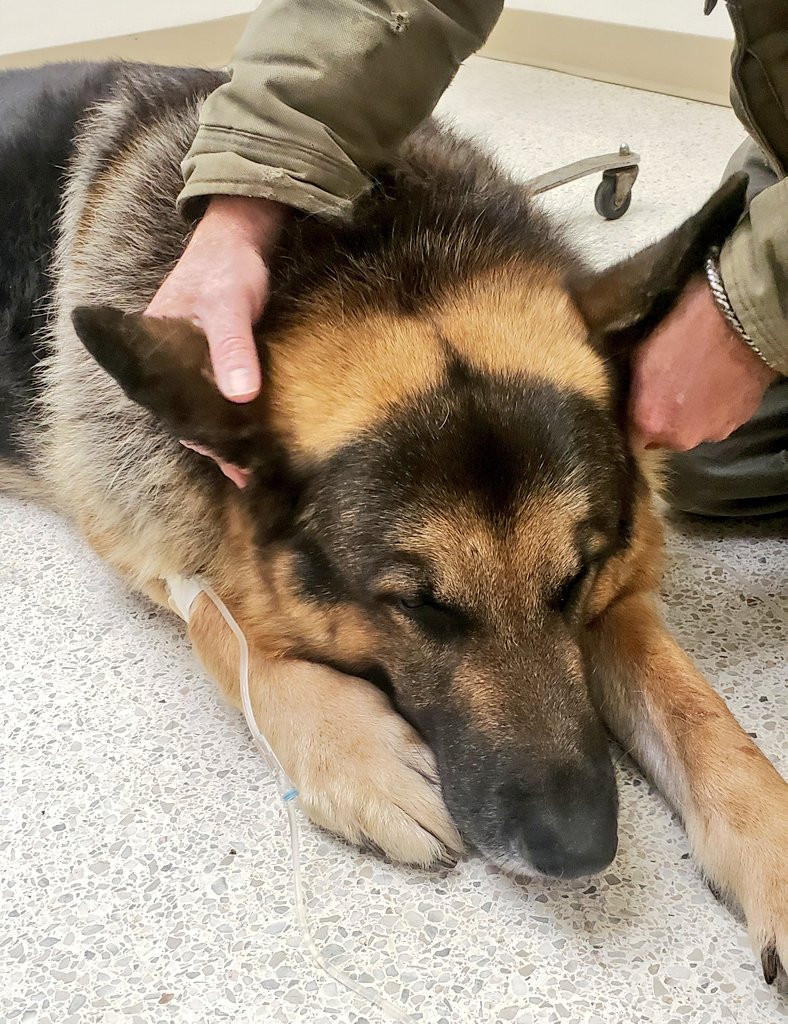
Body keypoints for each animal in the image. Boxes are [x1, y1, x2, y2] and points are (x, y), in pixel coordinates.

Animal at [1, 61, 785, 986]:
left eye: (573, 580)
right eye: (421, 608)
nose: (579, 852)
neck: (378, 256)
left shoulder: (619, 592)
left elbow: (703, 718)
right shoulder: (138, 523)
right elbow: (225, 627)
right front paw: (353, 749)